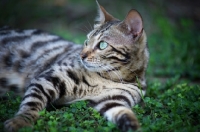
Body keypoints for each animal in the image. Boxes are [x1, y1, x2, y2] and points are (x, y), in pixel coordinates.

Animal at [1, 1, 148, 132]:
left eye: (102, 45)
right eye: (87, 41)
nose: (81, 55)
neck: (110, 78)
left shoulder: (112, 101)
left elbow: (125, 114)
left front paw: (136, 127)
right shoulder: (49, 78)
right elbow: (31, 103)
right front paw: (21, 121)